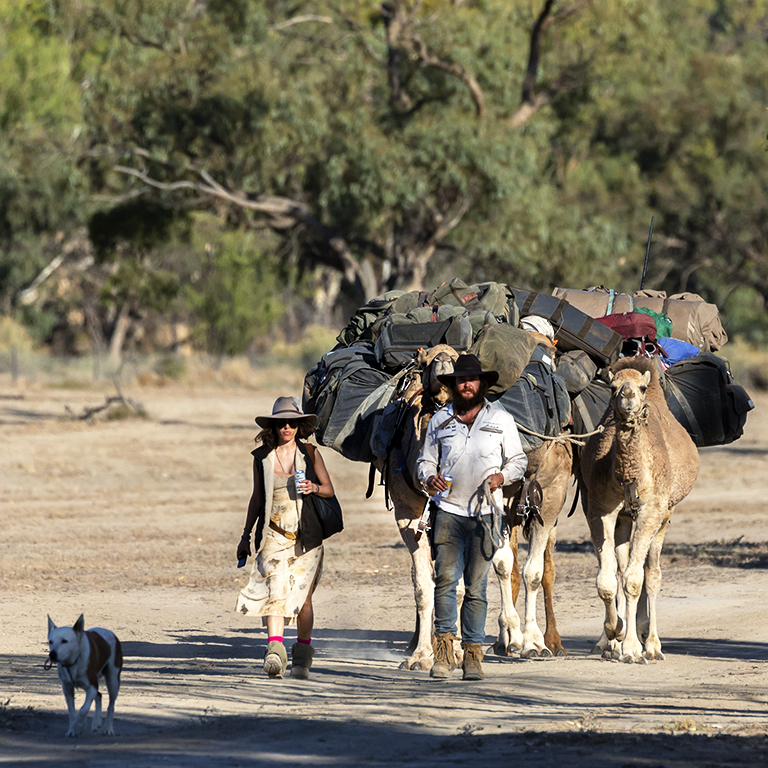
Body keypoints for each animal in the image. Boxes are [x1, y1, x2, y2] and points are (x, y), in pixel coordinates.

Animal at [578, 357, 699, 663]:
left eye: (642, 388)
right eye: (612, 387)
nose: (628, 397)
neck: (627, 475)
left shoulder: (651, 511)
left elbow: (635, 580)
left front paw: (633, 648)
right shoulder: (600, 510)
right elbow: (607, 581)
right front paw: (615, 634)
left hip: (665, 515)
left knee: (652, 573)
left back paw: (653, 645)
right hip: (624, 520)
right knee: (623, 569)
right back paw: (617, 642)